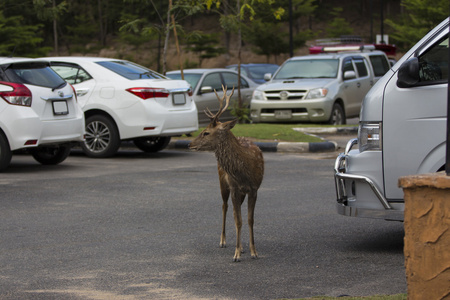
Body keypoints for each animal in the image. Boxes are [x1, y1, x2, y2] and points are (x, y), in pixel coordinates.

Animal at [189, 85, 264, 262]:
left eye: (206, 132)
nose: (190, 144)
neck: (245, 171)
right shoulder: (234, 188)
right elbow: (238, 220)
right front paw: (236, 254)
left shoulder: (254, 189)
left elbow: (249, 220)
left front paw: (254, 251)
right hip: (223, 182)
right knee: (225, 206)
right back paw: (223, 241)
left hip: (240, 191)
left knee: (236, 212)